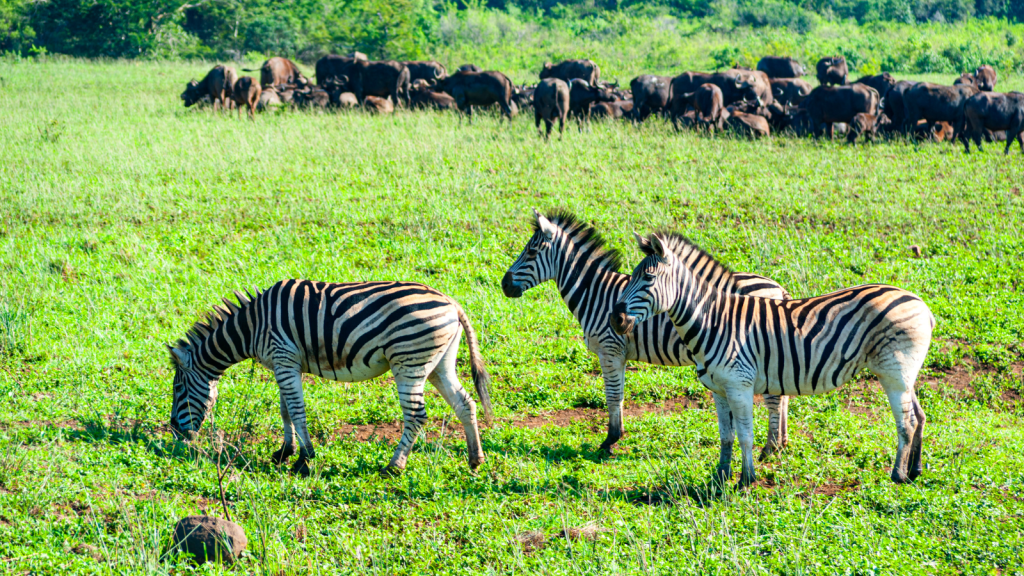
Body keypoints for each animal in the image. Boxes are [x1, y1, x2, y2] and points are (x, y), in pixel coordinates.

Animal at [168, 278, 495, 475]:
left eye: (178, 390)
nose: (175, 431)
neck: (252, 327)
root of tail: (452, 303)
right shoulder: (284, 363)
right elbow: (285, 410)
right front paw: (284, 451)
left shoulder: (284, 357)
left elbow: (296, 411)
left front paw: (304, 460)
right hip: (440, 363)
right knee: (465, 403)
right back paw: (475, 459)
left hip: (409, 361)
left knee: (416, 415)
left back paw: (394, 466)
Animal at [501, 211, 790, 457]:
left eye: (531, 251)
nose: (504, 284)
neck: (594, 292)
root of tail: (779, 290)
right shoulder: (619, 353)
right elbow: (619, 394)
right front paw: (615, 436)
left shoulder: (610, 350)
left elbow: (613, 396)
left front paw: (609, 441)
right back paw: (781, 442)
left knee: (774, 398)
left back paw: (770, 447)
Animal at [606, 230, 937, 485]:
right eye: (630, 277)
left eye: (648, 279)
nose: (615, 319)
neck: (713, 321)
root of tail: (921, 304)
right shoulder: (718, 389)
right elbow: (725, 436)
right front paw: (721, 476)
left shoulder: (739, 385)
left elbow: (745, 435)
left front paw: (745, 480)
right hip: (904, 373)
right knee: (919, 415)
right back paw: (915, 470)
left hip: (894, 372)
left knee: (906, 423)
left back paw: (898, 476)